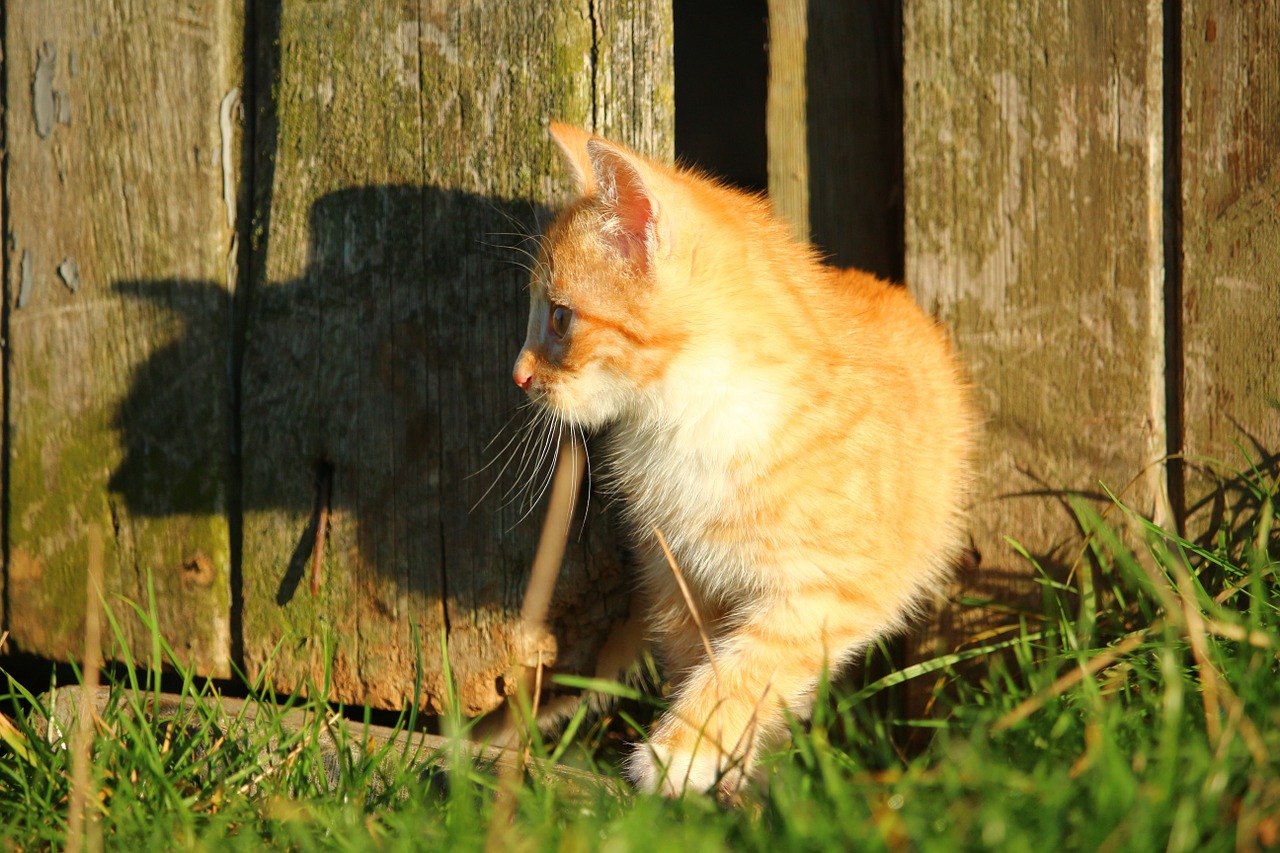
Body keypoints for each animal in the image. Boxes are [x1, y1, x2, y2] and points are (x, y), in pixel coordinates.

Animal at [509, 122, 967, 794]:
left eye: (560, 318)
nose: (518, 376)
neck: (691, 421)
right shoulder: (676, 576)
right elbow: (696, 658)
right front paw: (723, 772)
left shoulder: (833, 588)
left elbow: (752, 664)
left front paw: (682, 751)